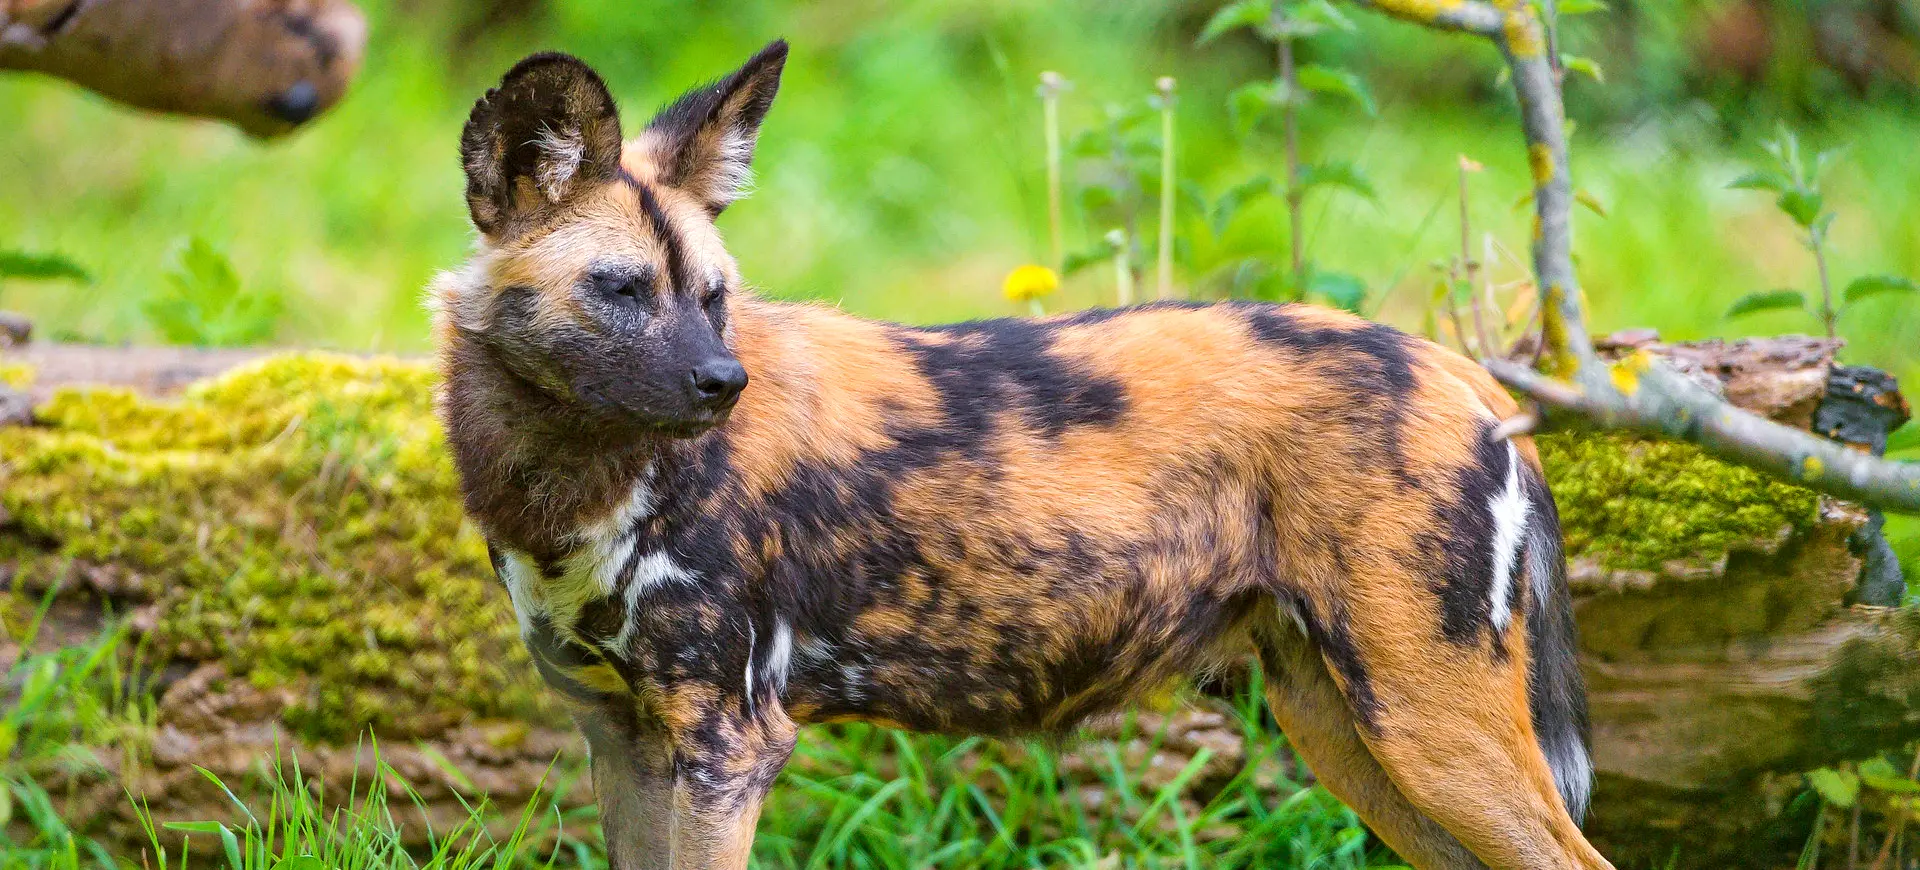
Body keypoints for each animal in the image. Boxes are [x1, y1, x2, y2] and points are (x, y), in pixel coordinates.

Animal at [432, 44, 1605, 868]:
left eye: (714, 297)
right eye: (622, 290)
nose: (726, 383)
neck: (572, 484)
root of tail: (1463, 375)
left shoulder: (724, 746)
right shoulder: (625, 740)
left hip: (1431, 736)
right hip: (1350, 733)